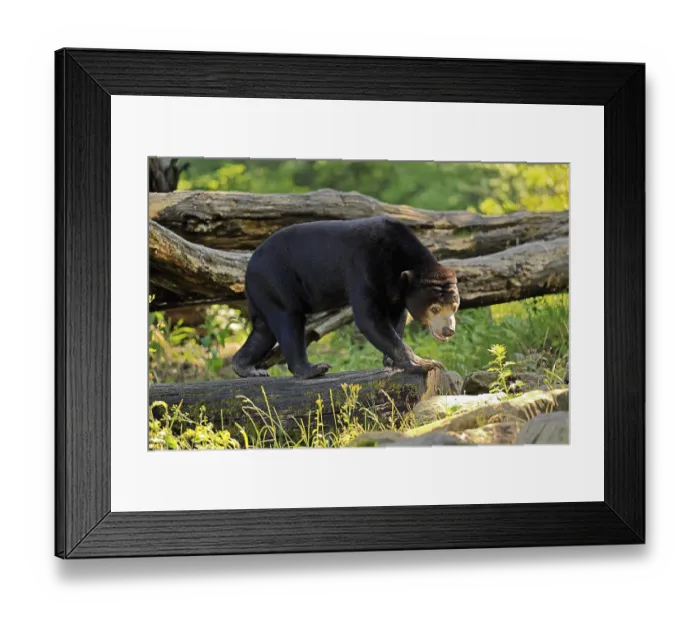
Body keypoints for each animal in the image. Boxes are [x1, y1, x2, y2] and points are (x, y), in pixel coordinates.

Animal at [231, 215, 461, 380]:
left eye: (454, 306)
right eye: (434, 308)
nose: (448, 330)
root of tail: (249, 268)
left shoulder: (395, 289)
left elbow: (396, 316)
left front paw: (390, 361)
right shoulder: (365, 266)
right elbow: (369, 318)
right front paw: (425, 363)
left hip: (264, 292)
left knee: (263, 331)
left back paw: (247, 368)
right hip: (276, 280)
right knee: (288, 322)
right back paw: (313, 369)